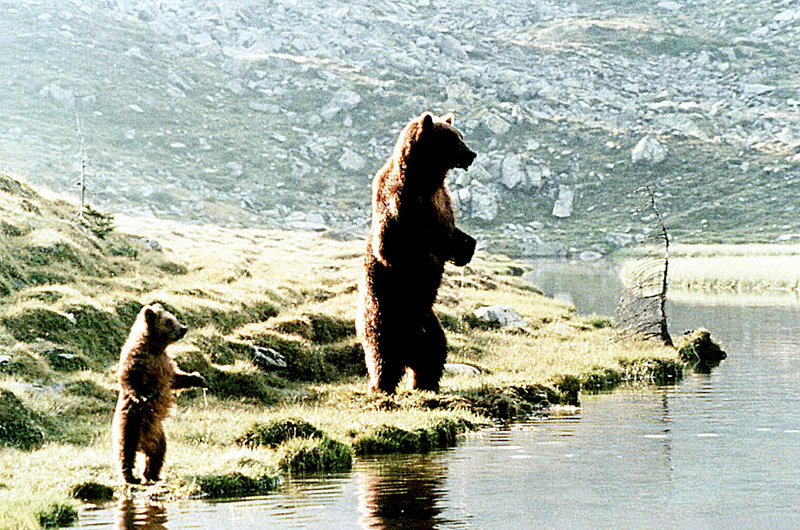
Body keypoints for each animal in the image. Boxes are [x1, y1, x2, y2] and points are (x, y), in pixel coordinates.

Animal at [111, 303, 207, 484]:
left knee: (158, 454)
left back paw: (153, 474)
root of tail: (143, 444)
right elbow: (129, 378)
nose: (183, 328)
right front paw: (146, 395)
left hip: (158, 434)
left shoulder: (165, 363)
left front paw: (197, 378)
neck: (155, 347)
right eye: (168, 321)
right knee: (126, 450)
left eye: (174, 317)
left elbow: (176, 378)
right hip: (131, 422)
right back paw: (131, 476)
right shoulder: (138, 358)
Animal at [356, 111, 477, 394]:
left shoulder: (442, 202)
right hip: (387, 314)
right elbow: (395, 248)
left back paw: (426, 382)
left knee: (433, 353)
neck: (425, 179)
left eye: (460, 136)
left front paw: (466, 248)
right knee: (383, 356)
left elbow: (450, 233)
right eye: (453, 139)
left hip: (429, 326)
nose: (471, 154)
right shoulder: (401, 204)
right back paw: (381, 386)